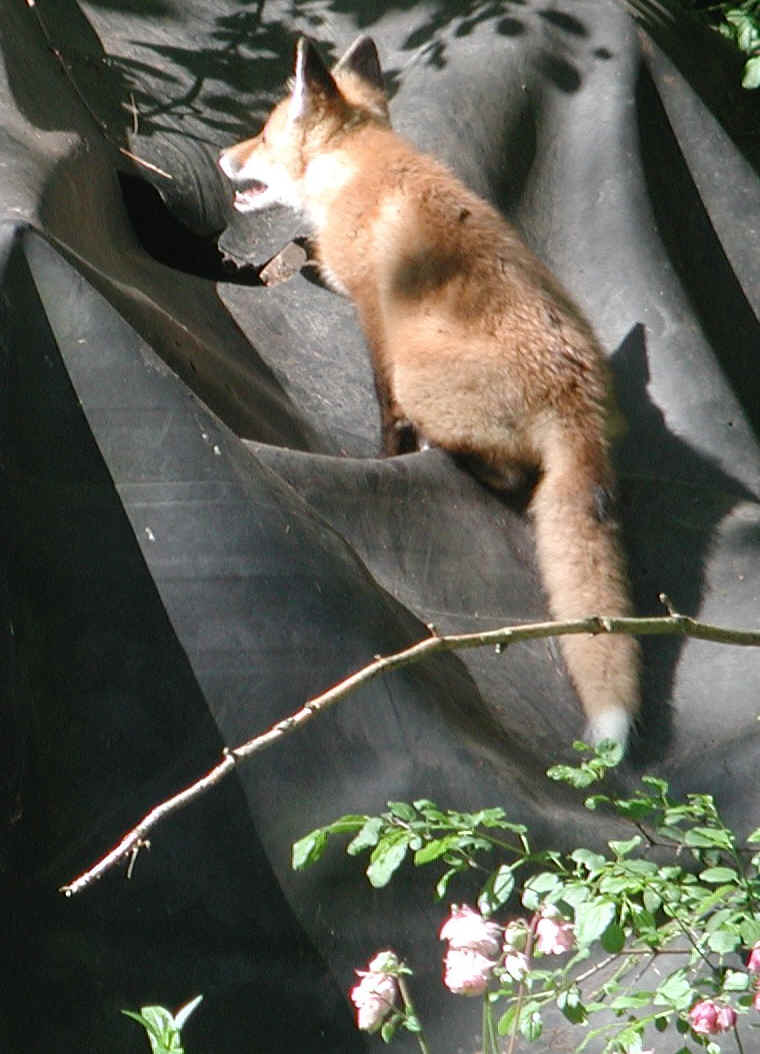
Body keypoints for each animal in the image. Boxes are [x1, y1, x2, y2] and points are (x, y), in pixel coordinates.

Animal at [219, 35, 641, 750]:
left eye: (266, 135)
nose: (223, 156)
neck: (356, 170)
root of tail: (576, 398)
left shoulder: (376, 317)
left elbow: (382, 405)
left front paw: (384, 459)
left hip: (424, 377)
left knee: (507, 476)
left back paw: (451, 459)